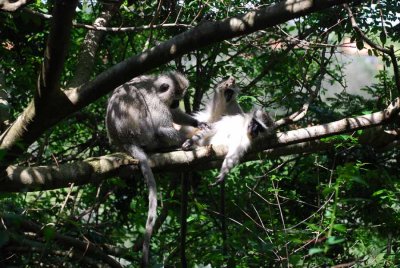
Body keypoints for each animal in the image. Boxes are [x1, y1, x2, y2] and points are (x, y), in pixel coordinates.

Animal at [104, 71, 208, 266]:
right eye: (176, 96)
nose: (175, 103)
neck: (153, 86)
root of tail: (125, 142)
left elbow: (174, 114)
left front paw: (198, 123)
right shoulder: (156, 102)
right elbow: (162, 126)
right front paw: (191, 135)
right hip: (146, 136)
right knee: (158, 131)